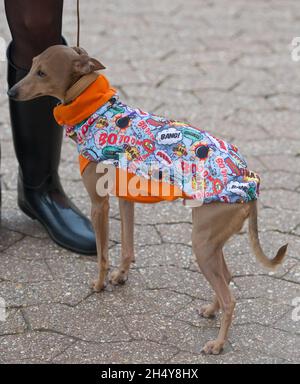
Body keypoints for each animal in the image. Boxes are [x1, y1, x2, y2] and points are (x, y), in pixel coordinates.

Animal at [7, 45, 288, 356]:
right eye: (31, 65)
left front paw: (99, 284)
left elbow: (103, 255)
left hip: (202, 243)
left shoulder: (99, 205)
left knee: (230, 298)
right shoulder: (125, 199)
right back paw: (210, 310)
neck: (96, 109)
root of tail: (249, 181)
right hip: (212, 242)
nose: (11, 92)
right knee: (226, 278)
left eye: (42, 73)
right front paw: (120, 277)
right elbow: (127, 248)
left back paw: (217, 343)